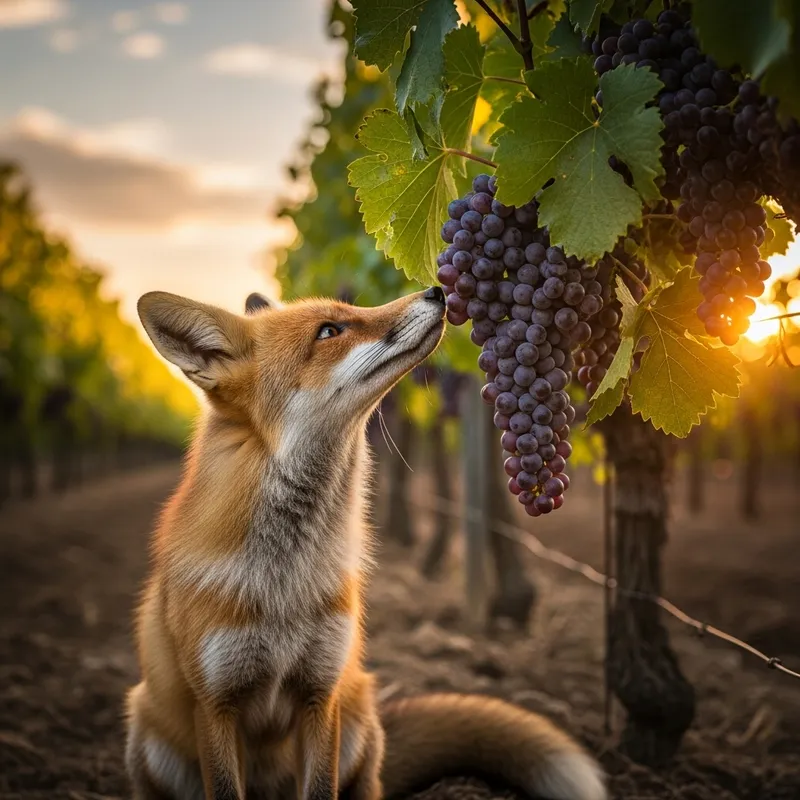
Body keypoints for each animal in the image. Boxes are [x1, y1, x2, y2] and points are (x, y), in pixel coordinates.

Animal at [126, 285, 607, 800]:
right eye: (329, 331)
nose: (438, 289)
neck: (285, 586)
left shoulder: (322, 692)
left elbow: (322, 789)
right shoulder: (215, 705)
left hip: (358, 718)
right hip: (147, 732)